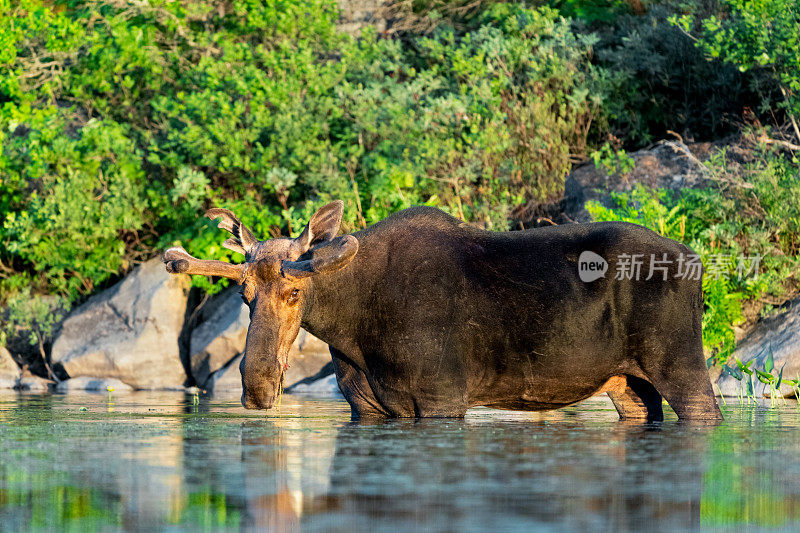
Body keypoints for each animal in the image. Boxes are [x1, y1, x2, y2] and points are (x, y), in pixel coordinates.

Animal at [161, 200, 720, 420]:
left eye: (295, 293)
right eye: (244, 296)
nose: (257, 388)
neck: (351, 328)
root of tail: (698, 262)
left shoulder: (443, 397)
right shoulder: (366, 406)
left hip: (681, 363)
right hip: (626, 383)